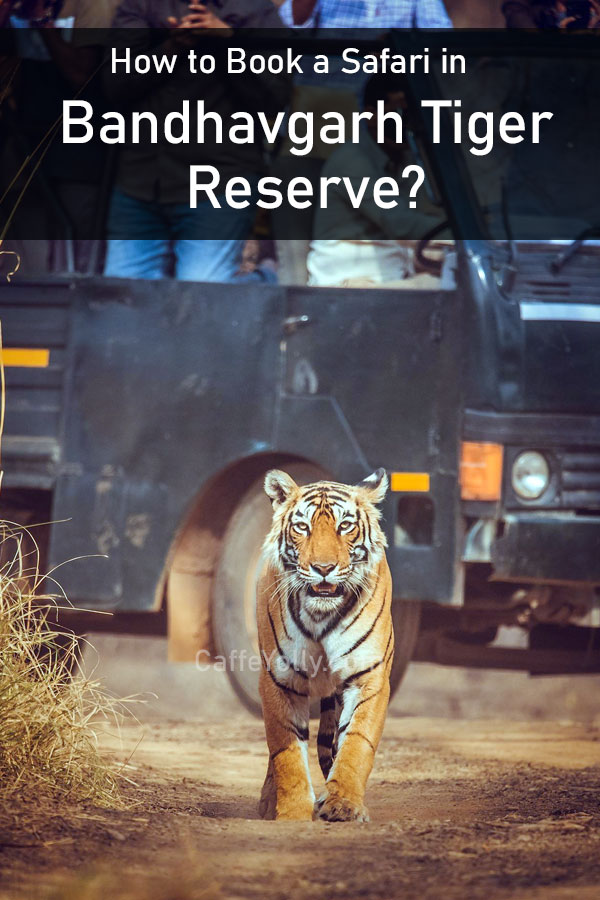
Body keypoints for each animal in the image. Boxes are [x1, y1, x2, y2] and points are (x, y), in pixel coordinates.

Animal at [256, 467, 394, 822]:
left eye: (344, 525)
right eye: (302, 527)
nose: (323, 569)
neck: (320, 615)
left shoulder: (368, 677)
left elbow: (356, 743)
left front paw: (343, 804)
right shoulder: (279, 680)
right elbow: (286, 752)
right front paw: (292, 812)